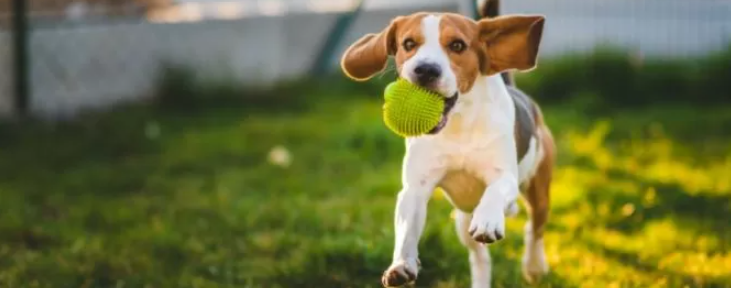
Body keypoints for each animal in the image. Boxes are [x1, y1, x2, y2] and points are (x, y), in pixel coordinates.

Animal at [340, 1, 556, 286]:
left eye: (457, 45)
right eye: (409, 43)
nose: (426, 69)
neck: (458, 126)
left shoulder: (504, 176)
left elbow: (496, 191)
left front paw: (489, 220)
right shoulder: (414, 189)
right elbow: (406, 231)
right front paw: (401, 266)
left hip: (539, 188)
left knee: (535, 228)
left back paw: (533, 265)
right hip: (462, 221)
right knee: (480, 258)